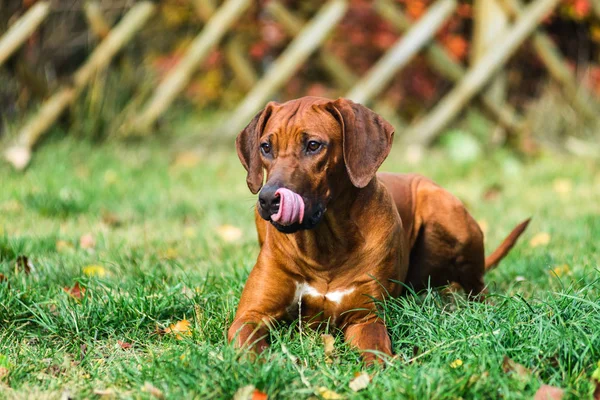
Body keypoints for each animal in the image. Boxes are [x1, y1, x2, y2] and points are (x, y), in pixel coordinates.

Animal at [227, 96, 528, 362]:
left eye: (313, 145)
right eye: (266, 147)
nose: (268, 199)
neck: (324, 247)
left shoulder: (365, 317)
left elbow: (376, 349)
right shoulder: (250, 316)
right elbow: (249, 348)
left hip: (446, 212)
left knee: (478, 285)